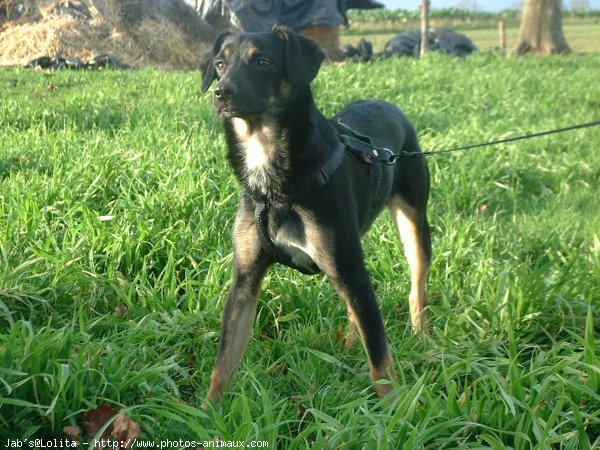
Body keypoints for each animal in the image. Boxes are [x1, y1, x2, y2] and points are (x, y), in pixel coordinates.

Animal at [200, 26, 432, 406]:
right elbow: (224, 363)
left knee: (416, 288)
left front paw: (394, 410)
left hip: (413, 226)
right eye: (220, 64)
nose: (221, 93)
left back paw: (421, 337)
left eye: (263, 62)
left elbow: (380, 361)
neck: (273, 180)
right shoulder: (245, 281)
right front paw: (207, 412)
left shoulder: (352, 270)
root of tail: (386, 104)